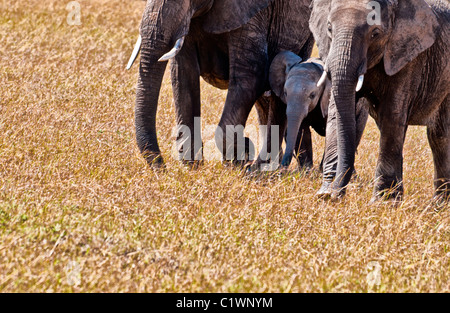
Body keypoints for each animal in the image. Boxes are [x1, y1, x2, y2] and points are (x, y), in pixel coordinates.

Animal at [312, 0, 448, 201]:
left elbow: (392, 115)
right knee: (438, 136)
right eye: (329, 28)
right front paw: (325, 194)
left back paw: (439, 204)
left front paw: (384, 203)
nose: (338, 195)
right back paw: (439, 204)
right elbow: (337, 113)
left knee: (439, 134)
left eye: (375, 33)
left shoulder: (407, 56)